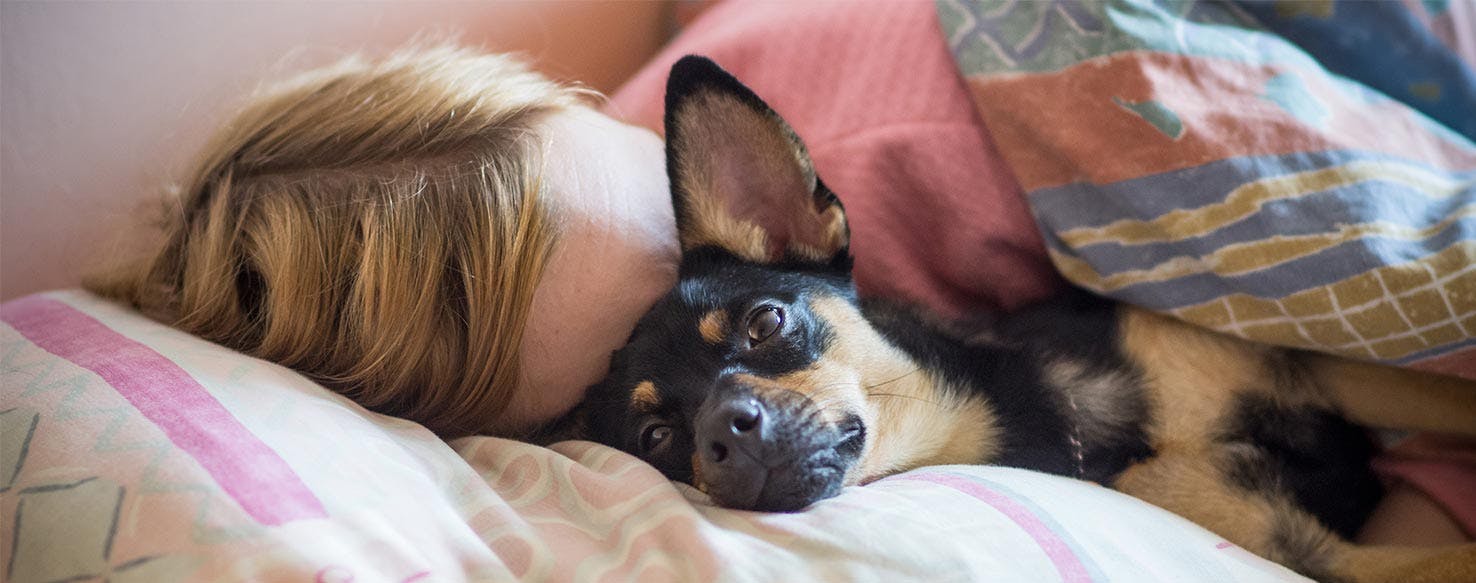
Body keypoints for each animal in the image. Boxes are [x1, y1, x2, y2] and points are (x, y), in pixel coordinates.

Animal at [554, 56, 1476, 583]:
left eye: (765, 324)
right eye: (655, 439)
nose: (723, 433)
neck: (1067, 415)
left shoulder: (1332, 368)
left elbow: (1434, 386)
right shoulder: (1317, 556)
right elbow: (1448, 556)